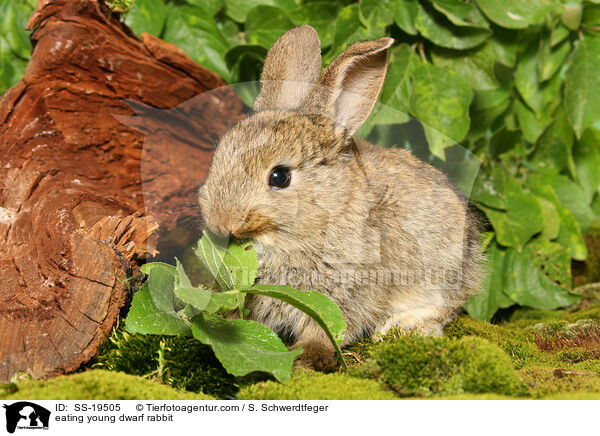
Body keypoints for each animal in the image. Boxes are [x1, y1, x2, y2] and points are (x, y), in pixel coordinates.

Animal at [199, 25, 480, 370]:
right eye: (221, 153)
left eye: (279, 177)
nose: (220, 224)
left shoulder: (344, 291)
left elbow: (326, 328)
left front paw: (307, 357)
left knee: (445, 307)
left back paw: (400, 326)